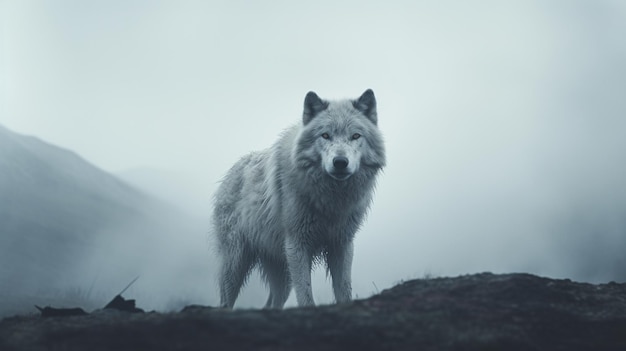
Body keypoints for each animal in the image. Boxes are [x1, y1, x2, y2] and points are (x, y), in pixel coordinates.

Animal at [212, 90, 382, 308]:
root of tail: (230, 173)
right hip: (236, 263)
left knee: (272, 304)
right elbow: (306, 296)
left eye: (355, 136)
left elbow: (344, 290)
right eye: (325, 135)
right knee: (225, 302)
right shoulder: (297, 244)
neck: (330, 200)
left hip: (282, 275)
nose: (340, 162)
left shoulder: (342, 244)